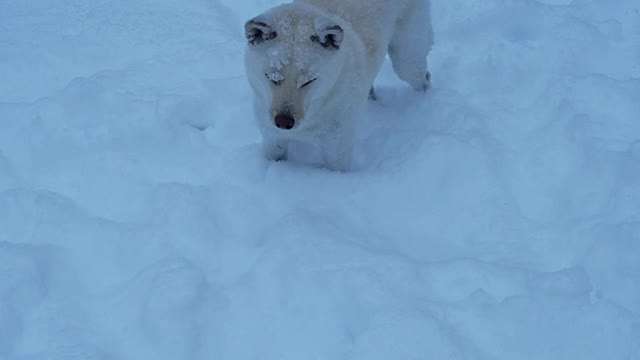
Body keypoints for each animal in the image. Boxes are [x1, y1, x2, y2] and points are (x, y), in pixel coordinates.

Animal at [245, 0, 436, 172]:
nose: (284, 122)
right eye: (271, 78)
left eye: (308, 81)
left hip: (407, 58)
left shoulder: (337, 148)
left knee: (423, 78)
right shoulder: (272, 139)